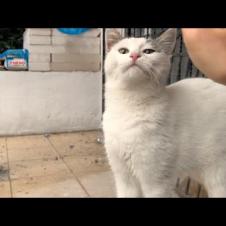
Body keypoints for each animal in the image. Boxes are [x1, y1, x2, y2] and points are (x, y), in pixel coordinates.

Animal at [103, 28, 226, 198]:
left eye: (148, 51)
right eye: (123, 51)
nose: (134, 55)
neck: (129, 104)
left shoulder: (156, 183)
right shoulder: (124, 178)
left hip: (218, 177)